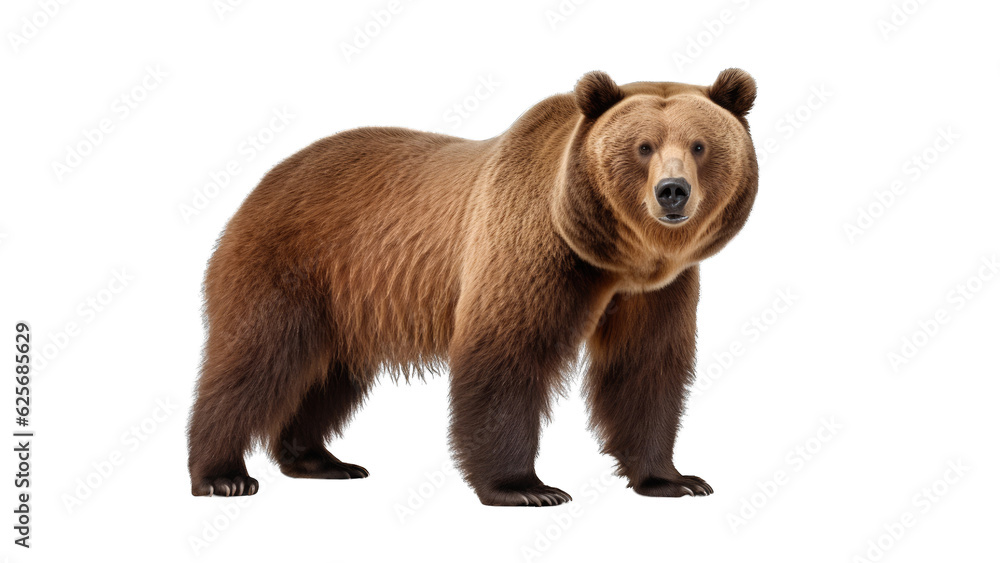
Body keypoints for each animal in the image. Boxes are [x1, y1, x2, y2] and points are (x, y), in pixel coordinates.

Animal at [187, 68, 758, 506]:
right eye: (643, 147)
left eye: (700, 145)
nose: (672, 191)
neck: (615, 257)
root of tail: (266, 179)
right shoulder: (530, 252)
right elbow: (506, 355)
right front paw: (526, 487)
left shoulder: (656, 291)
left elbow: (646, 366)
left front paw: (674, 479)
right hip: (290, 263)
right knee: (257, 359)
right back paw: (223, 474)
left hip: (347, 302)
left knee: (327, 376)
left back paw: (318, 459)